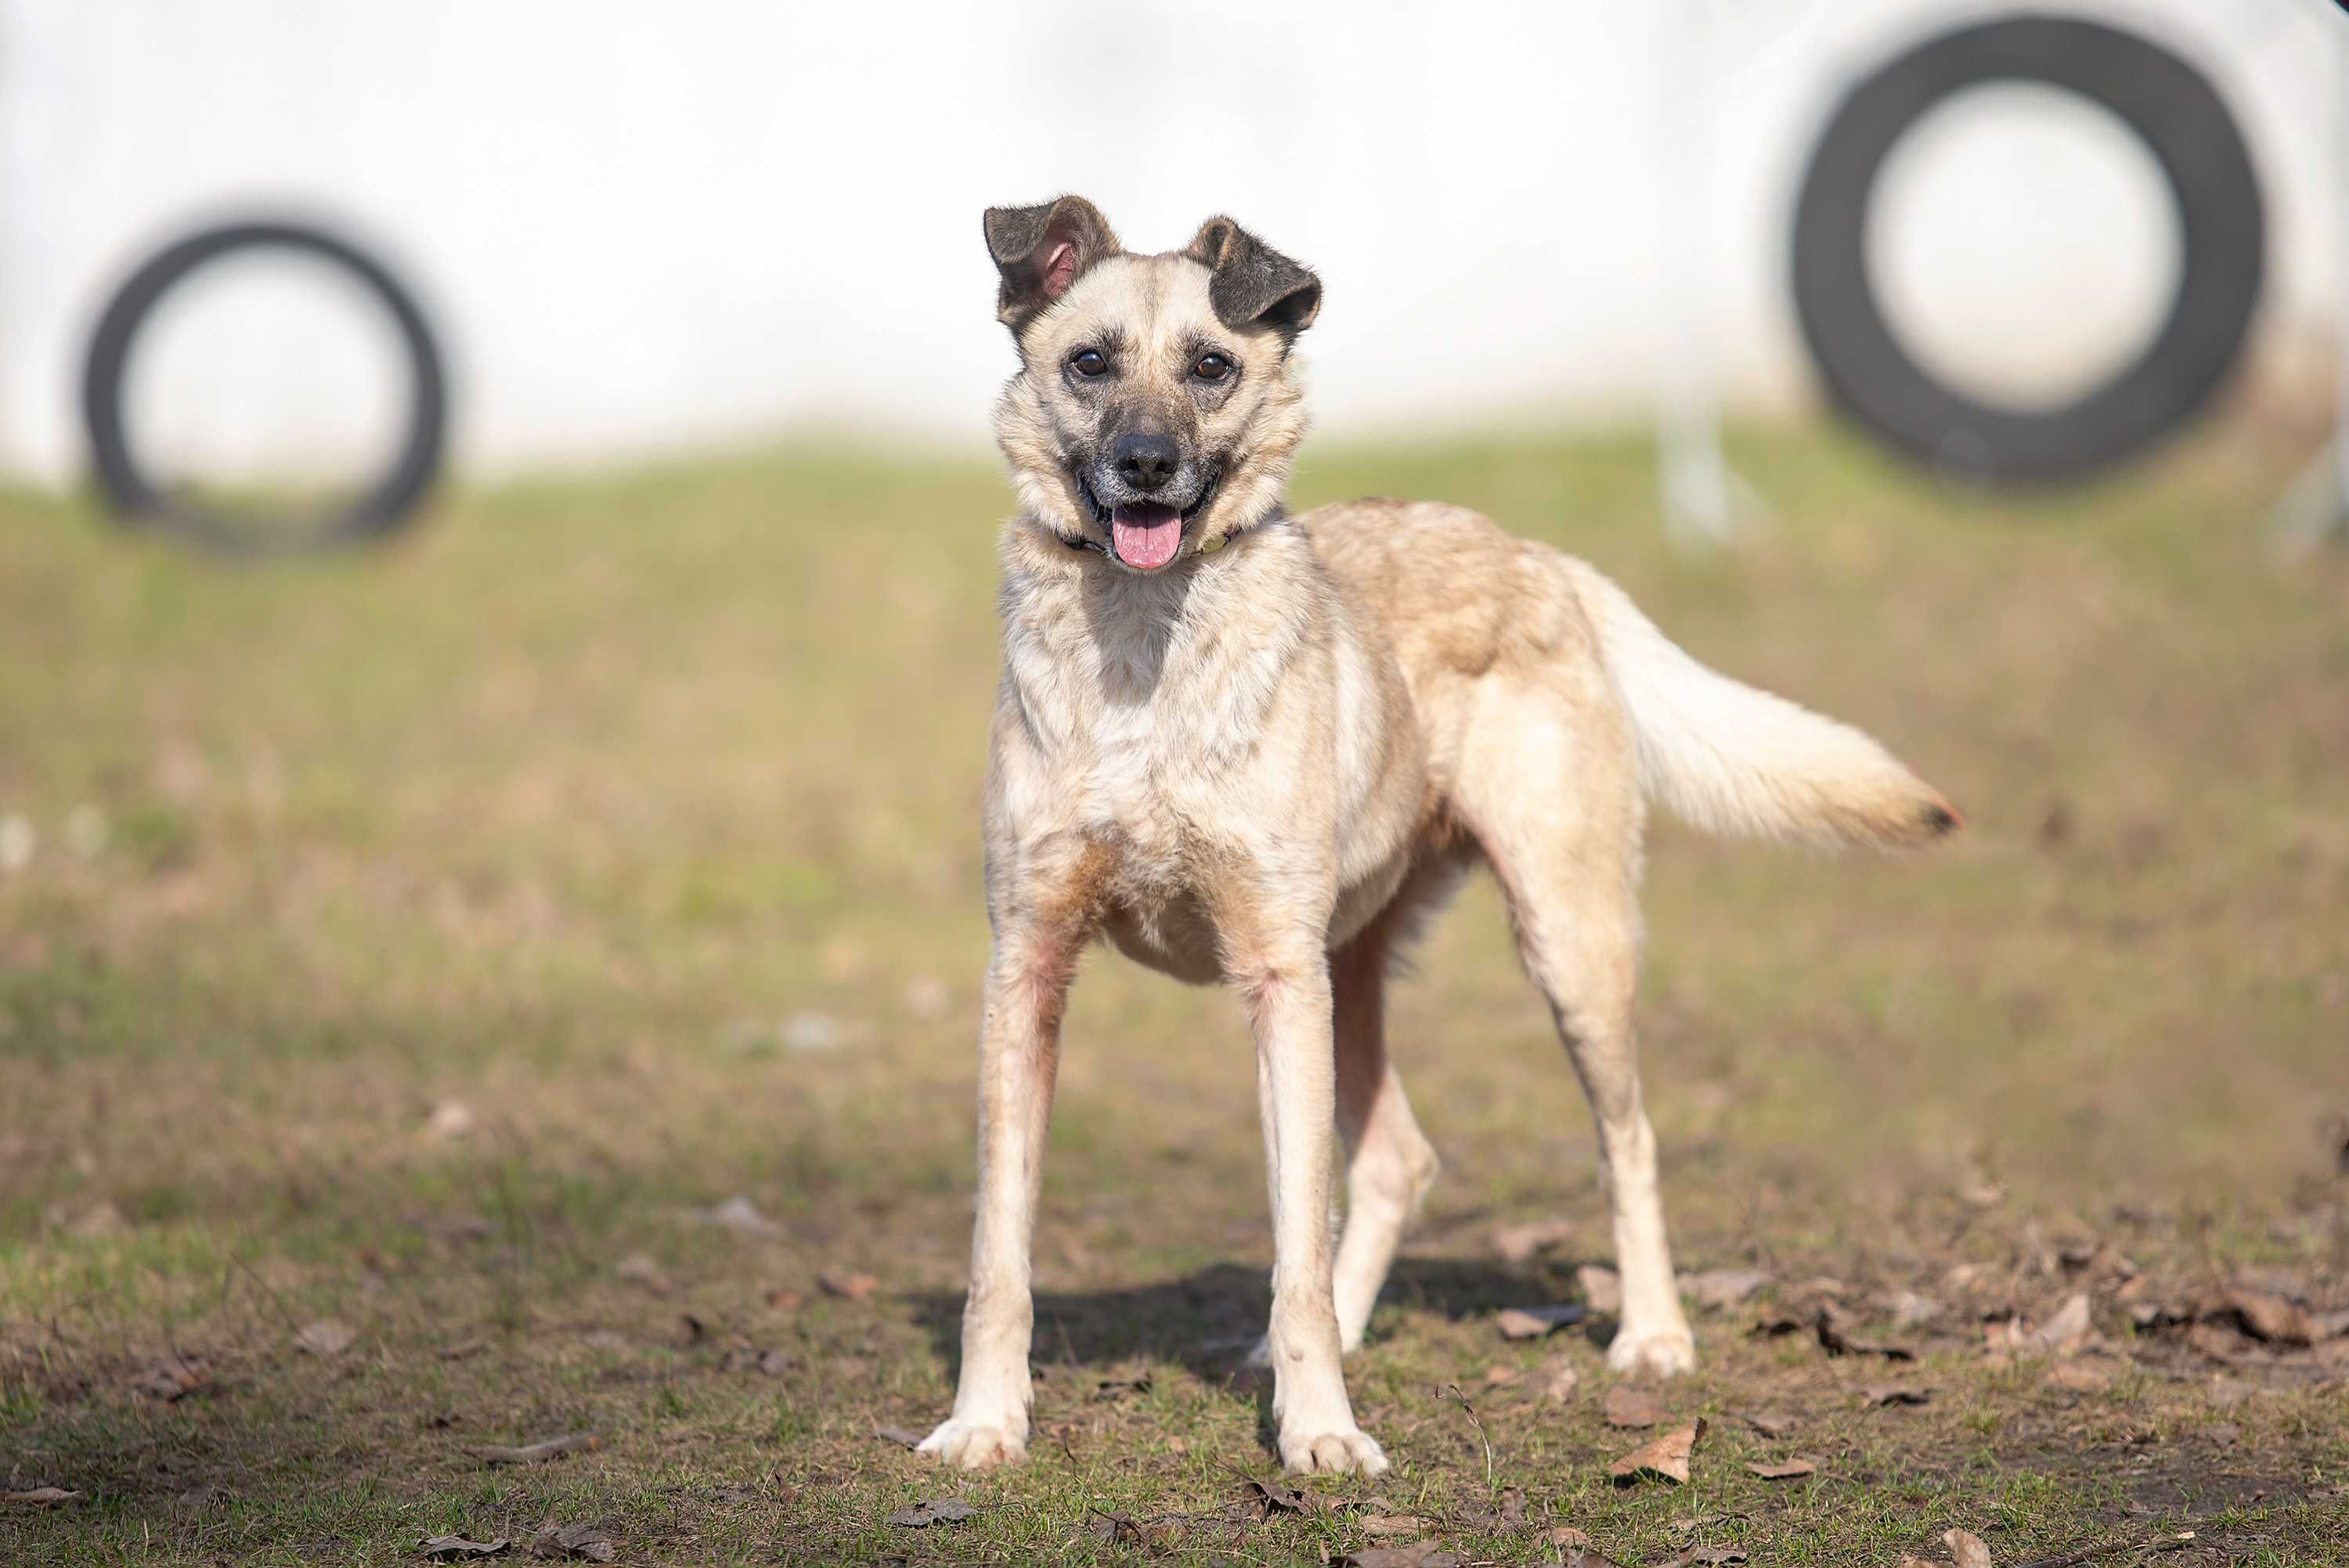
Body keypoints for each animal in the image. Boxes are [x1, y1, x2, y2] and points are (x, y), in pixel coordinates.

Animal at [921, 192, 1964, 1474]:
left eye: (1212, 366)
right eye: (1088, 363)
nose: (1148, 467)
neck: (1142, 644)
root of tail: (1536, 556)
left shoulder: (1277, 977)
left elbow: (1294, 1253)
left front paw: (1321, 1433)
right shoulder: (1028, 969)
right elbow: (999, 1255)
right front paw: (984, 1420)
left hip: (1562, 943)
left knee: (1628, 1139)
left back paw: (1652, 1335)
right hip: (1353, 972)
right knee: (1394, 1159)